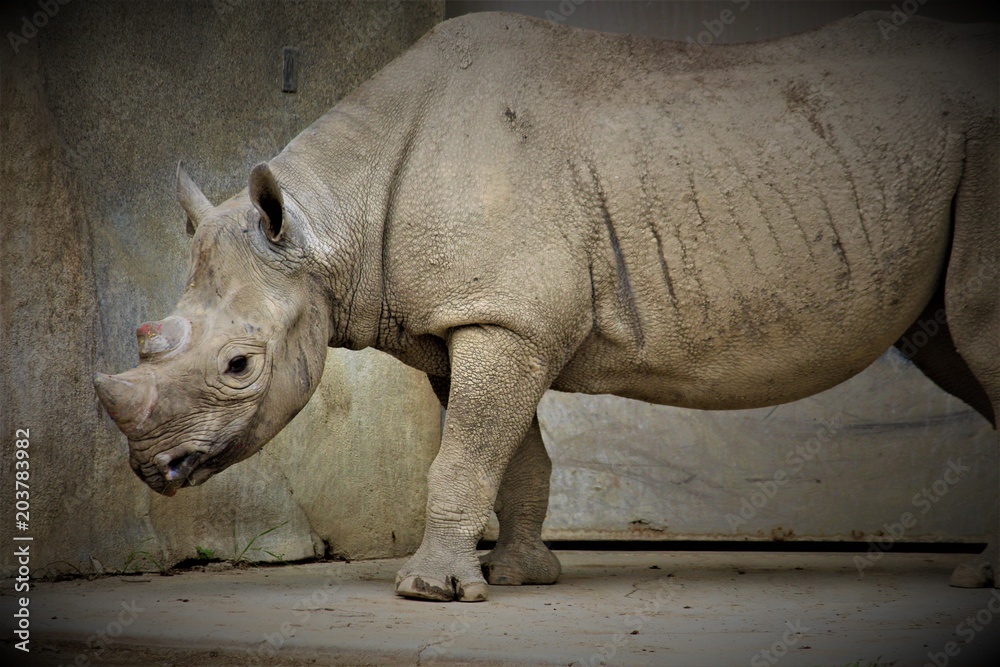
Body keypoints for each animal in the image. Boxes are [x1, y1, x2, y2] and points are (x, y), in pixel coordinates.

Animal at [94, 11, 998, 601]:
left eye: (239, 365)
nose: (150, 468)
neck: (329, 223)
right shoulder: (482, 318)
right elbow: (513, 454)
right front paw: (520, 574)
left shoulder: (504, 318)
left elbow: (464, 454)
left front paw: (429, 591)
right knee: (958, 351)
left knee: (979, 334)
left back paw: (974, 576)